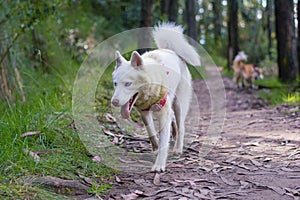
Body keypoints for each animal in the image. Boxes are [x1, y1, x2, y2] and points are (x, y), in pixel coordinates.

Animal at [110, 22, 199, 171]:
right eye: (115, 84)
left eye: (128, 84)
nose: (114, 102)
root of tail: (172, 51)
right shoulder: (144, 112)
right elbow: (151, 131)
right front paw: (155, 147)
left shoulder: (163, 113)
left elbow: (164, 140)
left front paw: (159, 165)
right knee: (173, 119)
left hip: (179, 105)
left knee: (181, 126)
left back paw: (178, 148)